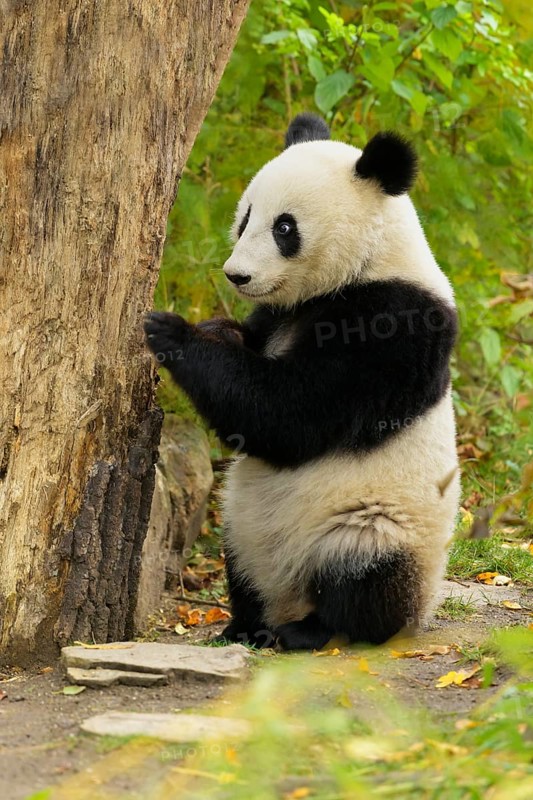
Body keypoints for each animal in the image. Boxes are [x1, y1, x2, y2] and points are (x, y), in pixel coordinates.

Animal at [145, 112, 460, 651]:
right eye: (246, 217)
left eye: (285, 227)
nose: (237, 275)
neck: (366, 265)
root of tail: (288, 596)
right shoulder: (279, 314)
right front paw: (218, 329)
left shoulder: (395, 325)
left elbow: (290, 416)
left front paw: (173, 332)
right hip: (240, 524)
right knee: (242, 564)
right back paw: (245, 624)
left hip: (377, 521)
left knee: (362, 576)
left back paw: (313, 630)